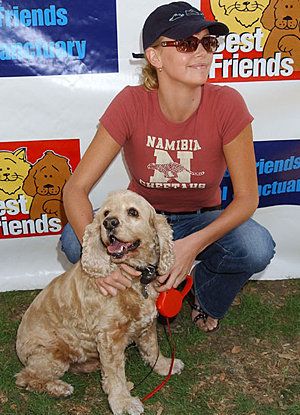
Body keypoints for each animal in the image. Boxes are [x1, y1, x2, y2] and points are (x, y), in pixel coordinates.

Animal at [15, 191, 183, 415]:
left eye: (133, 212)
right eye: (105, 213)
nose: (109, 223)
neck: (133, 278)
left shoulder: (147, 325)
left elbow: (152, 348)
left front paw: (164, 366)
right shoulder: (110, 337)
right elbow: (116, 373)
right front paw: (123, 401)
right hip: (52, 354)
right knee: (26, 377)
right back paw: (59, 387)